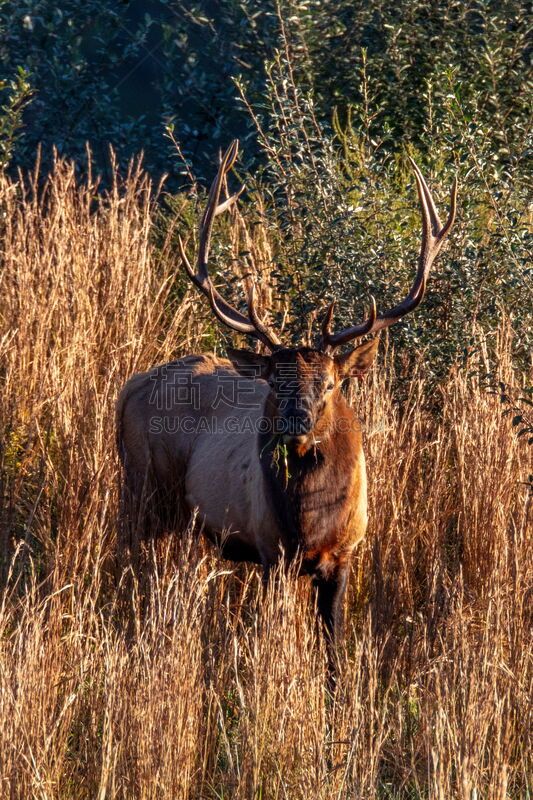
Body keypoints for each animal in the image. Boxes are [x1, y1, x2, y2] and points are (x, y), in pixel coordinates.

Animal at [117, 141, 458, 648]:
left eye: (331, 383)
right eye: (275, 382)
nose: (297, 422)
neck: (309, 525)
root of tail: (129, 387)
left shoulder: (345, 552)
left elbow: (334, 642)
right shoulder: (269, 549)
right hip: (145, 489)